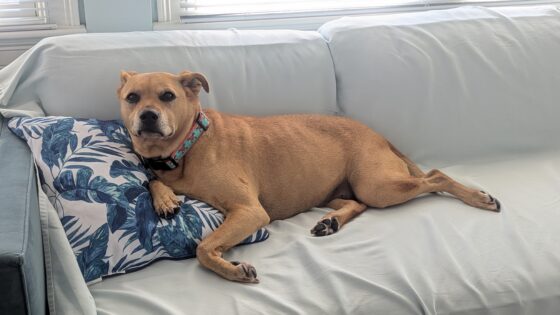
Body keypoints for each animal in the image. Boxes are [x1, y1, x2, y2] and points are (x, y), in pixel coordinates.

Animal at [116, 71, 500, 284]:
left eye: (168, 95)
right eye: (132, 97)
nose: (147, 116)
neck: (184, 151)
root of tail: (378, 135)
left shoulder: (249, 211)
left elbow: (204, 248)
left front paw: (233, 269)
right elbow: (151, 180)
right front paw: (165, 197)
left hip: (378, 186)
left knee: (435, 176)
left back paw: (480, 198)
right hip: (338, 192)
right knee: (357, 204)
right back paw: (330, 223)